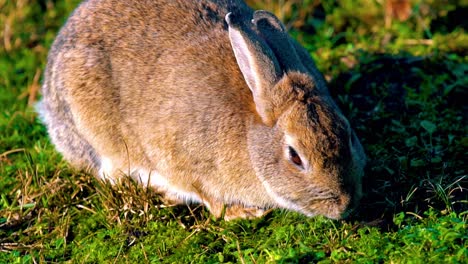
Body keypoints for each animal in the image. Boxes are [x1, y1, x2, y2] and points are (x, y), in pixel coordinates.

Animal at [37, 0, 366, 220]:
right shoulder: (183, 161)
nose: (344, 205)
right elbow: (208, 197)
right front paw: (243, 213)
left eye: (348, 135)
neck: (250, 137)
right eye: (295, 157)